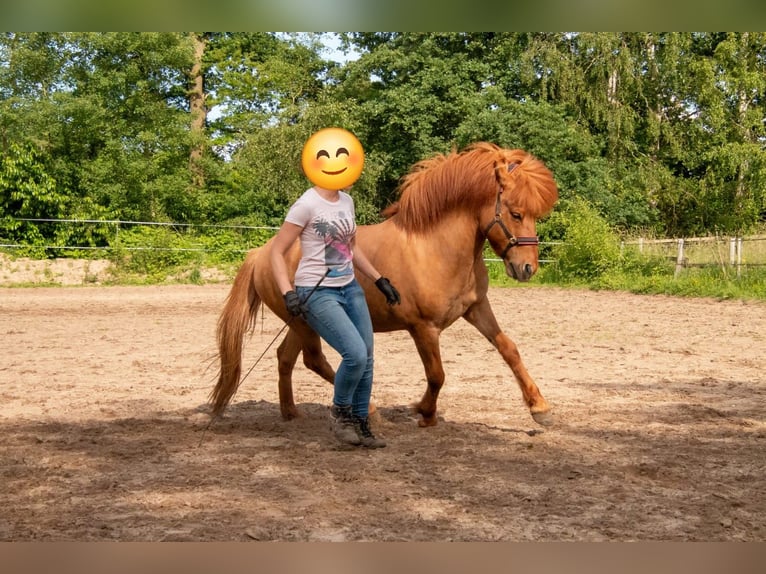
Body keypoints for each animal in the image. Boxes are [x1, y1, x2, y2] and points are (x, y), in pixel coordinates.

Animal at [210, 142, 559, 427]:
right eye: (516, 213)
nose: (527, 268)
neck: (435, 246)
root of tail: (263, 252)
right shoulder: (423, 327)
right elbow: (437, 374)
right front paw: (425, 412)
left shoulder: (476, 308)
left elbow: (509, 349)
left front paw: (539, 407)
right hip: (307, 322)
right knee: (314, 359)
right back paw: (370, 409)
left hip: (301, 322)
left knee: (286, 357)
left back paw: (291, 412)